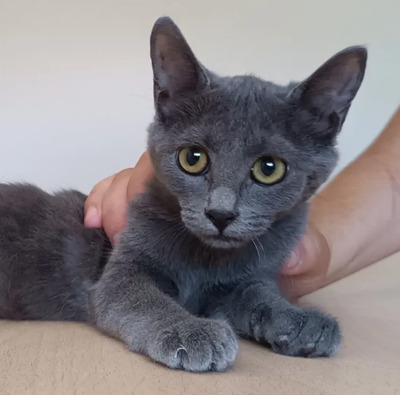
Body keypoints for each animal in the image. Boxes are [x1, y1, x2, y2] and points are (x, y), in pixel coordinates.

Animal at [0, 17, 368, 372]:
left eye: (269, 168)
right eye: (193, 158)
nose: (221, 214)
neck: (205, 260)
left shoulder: (244, 279)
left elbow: (258, 293)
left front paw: (300, 320)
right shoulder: (120, 273)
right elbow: (145, 299)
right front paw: (190, 331)